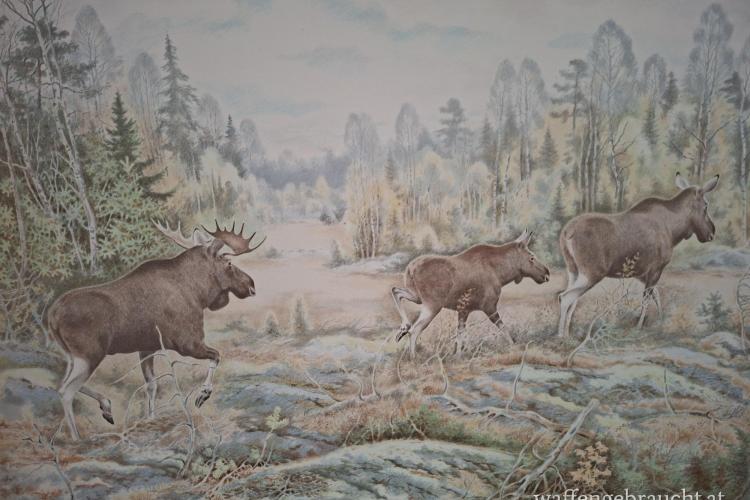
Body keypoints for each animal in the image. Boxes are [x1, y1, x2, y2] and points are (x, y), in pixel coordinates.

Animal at [46, 220, 265, 440]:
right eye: (228, 263)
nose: (252, 285)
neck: (199, 293)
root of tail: (52, 315)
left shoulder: (147, 348)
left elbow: (152, 385)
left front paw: (150, 418)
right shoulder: (188, 343)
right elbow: (217, 355)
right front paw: (203, 394)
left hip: (72, 356)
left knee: (61, 384)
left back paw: (106, 407)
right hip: (90, 354)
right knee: (66, 391)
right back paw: (77, 437)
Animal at [391, 230, 551, 358]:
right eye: (531, 257)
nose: (547, 273)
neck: (502, 274)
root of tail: (410, 269)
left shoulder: (464, 310)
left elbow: (460, 336)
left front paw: (457, 355)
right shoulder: (489, 306)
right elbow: (504, 329)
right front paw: (515, 347)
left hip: (418, 297)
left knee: (396, 290)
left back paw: (403, 328)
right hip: (432, 305)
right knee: (415, 330)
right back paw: (413, 357)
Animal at [558, 173, 719, 338]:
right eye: (706, 205)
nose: (711, 232)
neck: (674, 230)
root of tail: (566, 233)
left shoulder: (641, 273)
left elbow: (656, 295)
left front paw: (661, 321)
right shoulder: (656, 268)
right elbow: (646, 299)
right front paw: (639, 327)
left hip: (573, 270)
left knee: (573, 299)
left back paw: (567, 334)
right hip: (592, 273)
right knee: (565, 297)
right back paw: (560, 335)